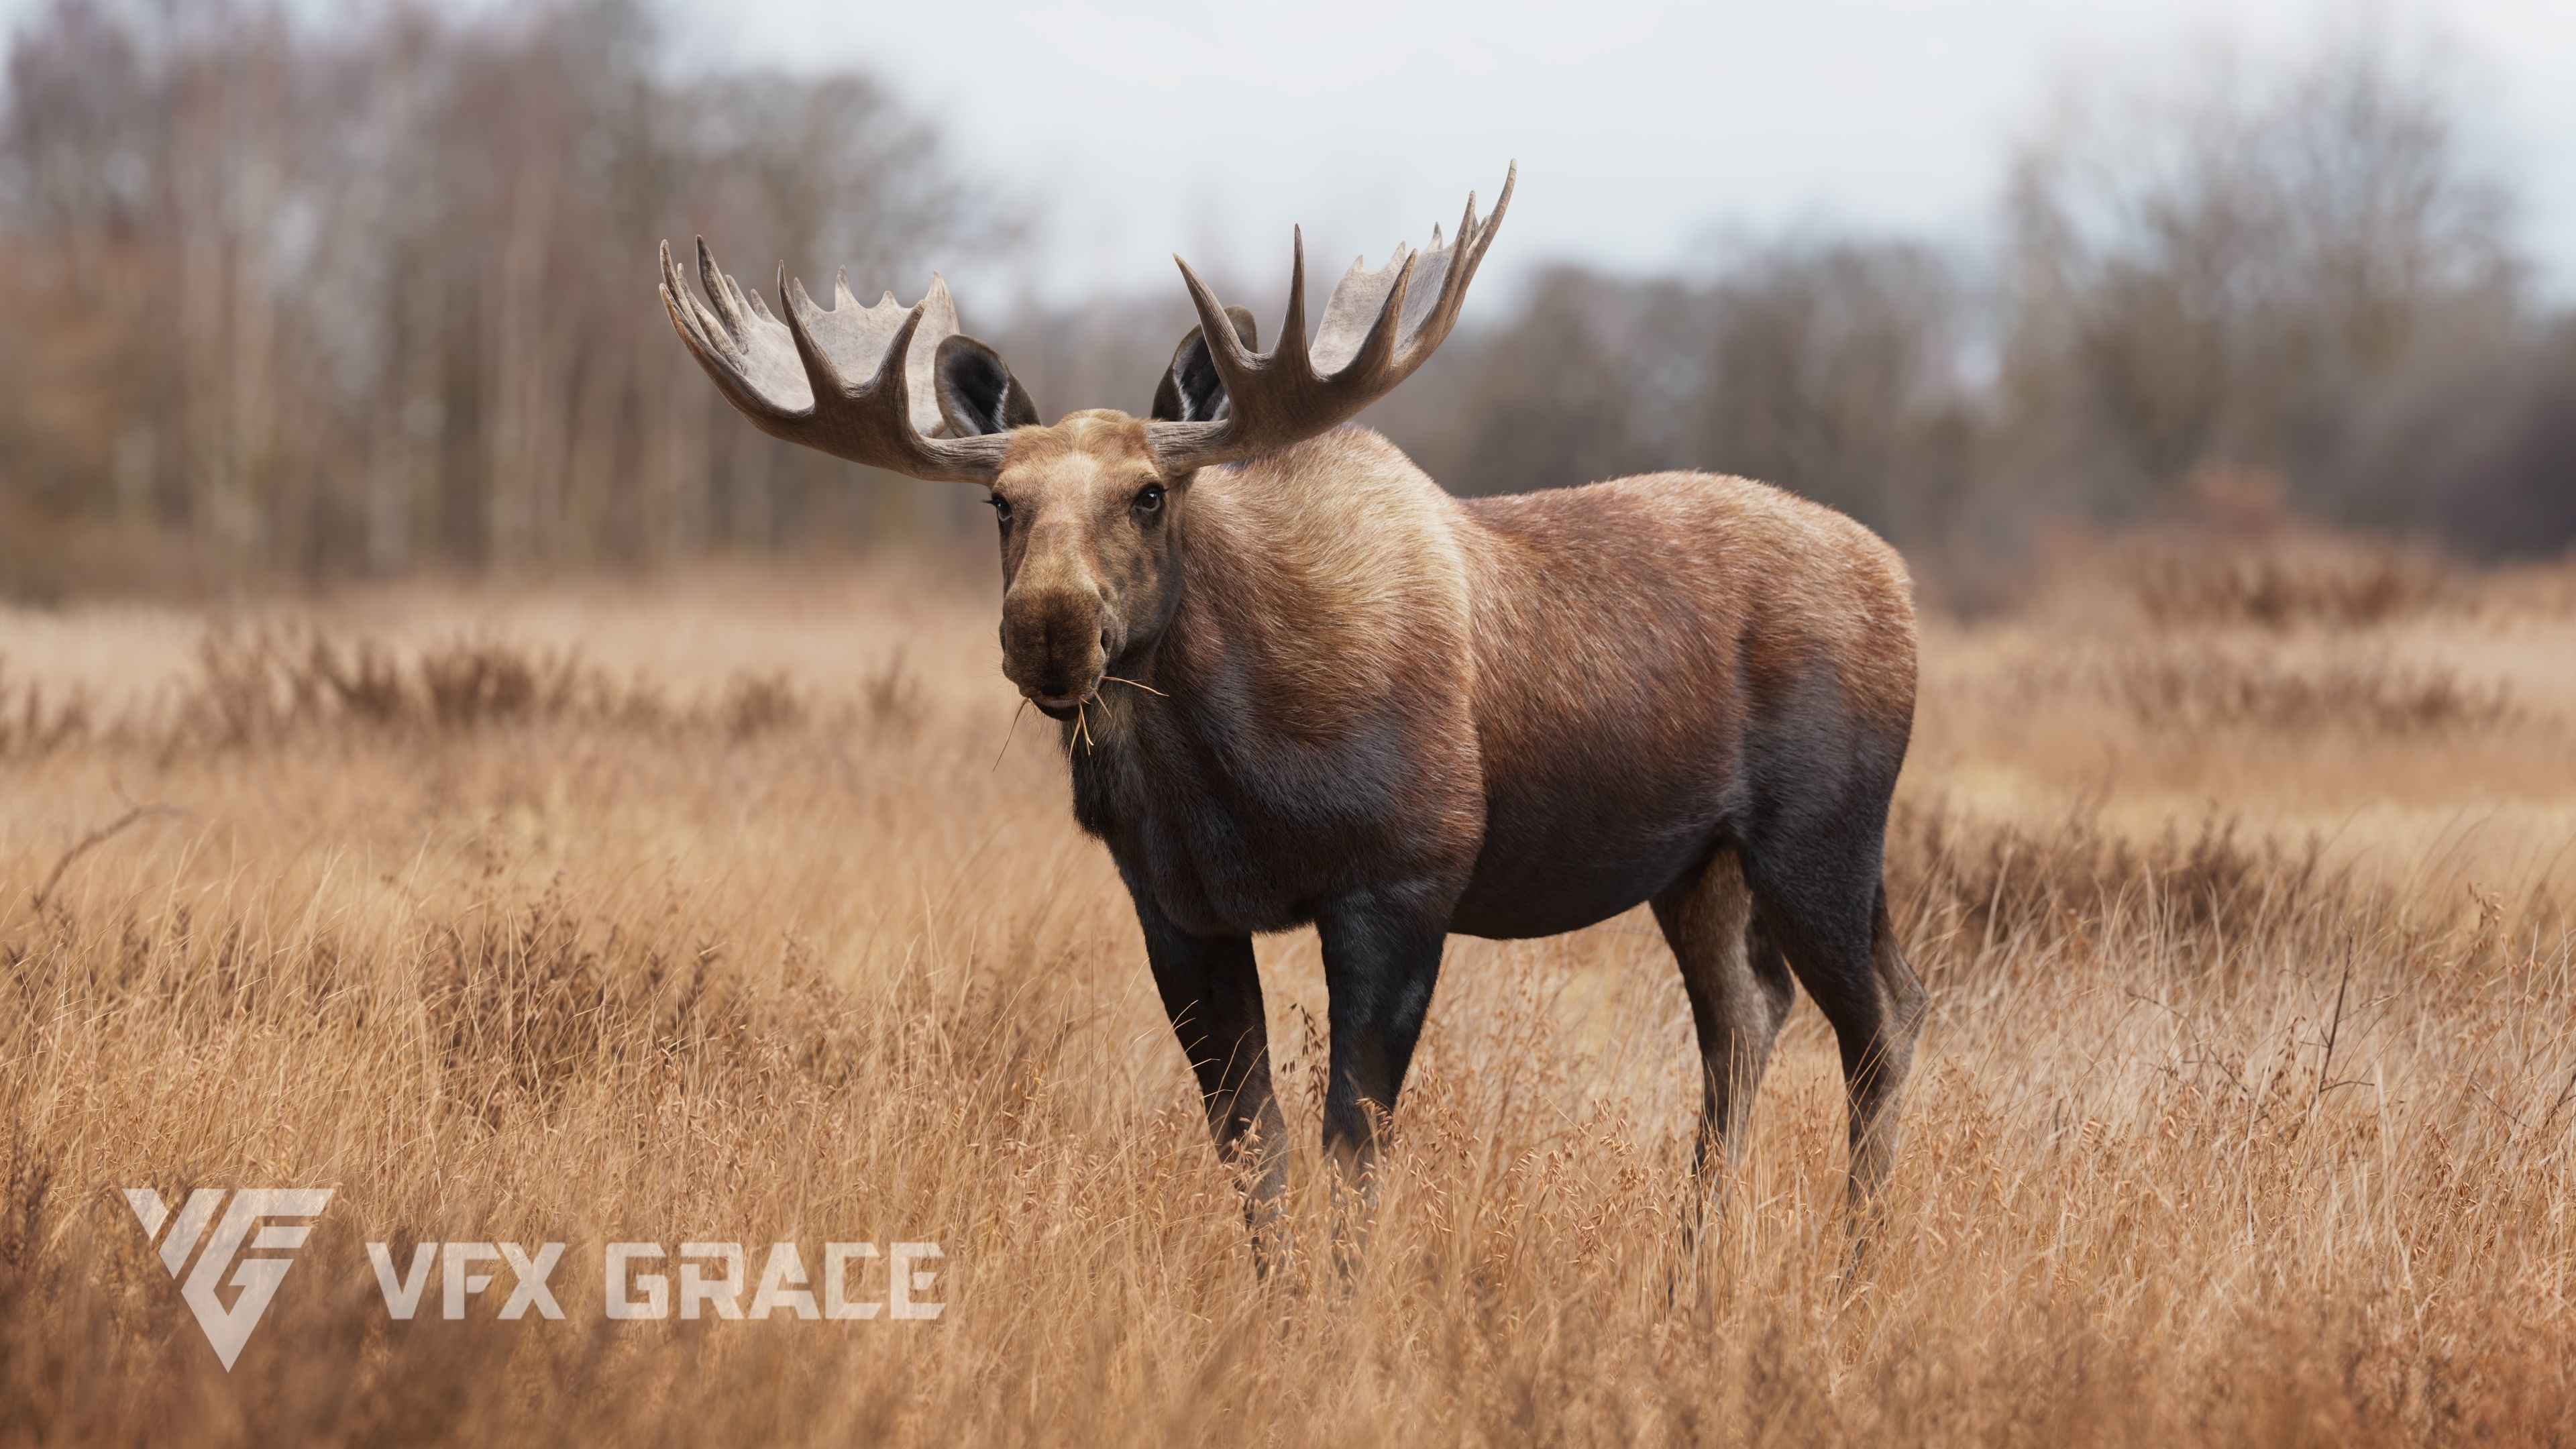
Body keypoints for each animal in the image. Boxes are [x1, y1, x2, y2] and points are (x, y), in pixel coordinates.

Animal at [658, 166, 1928, 1264]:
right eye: (1001, 503)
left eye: (1150, 493)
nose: (1048, 629)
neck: (1223, 773)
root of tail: (1901, 581)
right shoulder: (1176, 910)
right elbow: (1251, 1149)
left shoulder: (1401, 882)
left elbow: (1350, 1151)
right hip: (1696, 865)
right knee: (1747, 1021)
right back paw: (1694, 1272)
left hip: (1822, 835)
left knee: (1884, 1017)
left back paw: (1852, 1266)